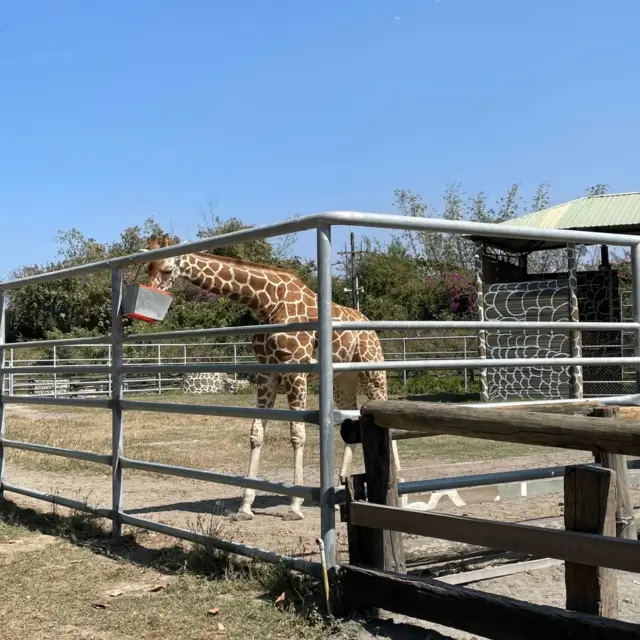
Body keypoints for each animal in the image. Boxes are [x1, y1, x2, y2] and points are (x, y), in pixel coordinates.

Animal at [144, 234, 400, 520]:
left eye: (167, 270)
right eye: (146, 268)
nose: (150, 298)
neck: (267, 302)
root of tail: (369, 325)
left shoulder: (296, 370)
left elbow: (297, 434)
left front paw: (295, 506)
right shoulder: (266, 373)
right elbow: (256, 433)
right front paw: (245, 507)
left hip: (372, 368)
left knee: (385, 415)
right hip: (343, 378)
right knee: (351, 419)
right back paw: (340, 495)